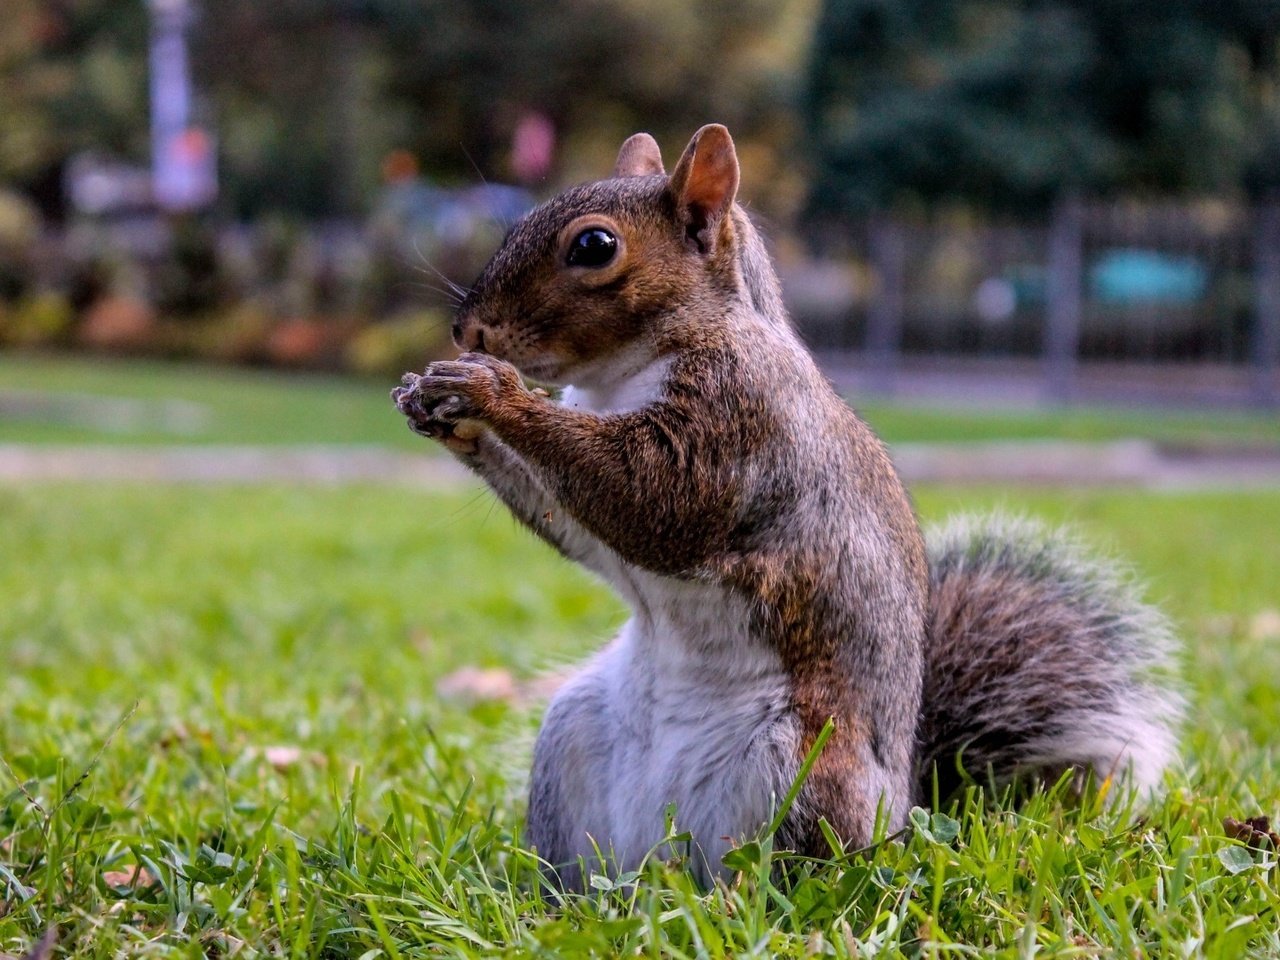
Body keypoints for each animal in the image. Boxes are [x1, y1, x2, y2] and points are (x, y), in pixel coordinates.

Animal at [389, 126, 1177, 885]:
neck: (626, 373)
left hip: (796, 767)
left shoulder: (741, 416)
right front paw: (442, 412)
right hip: (572, 738)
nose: (468, 332)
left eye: (594, 246)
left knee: (793, 875)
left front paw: (491, 393)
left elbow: (650, 498)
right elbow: (574, 521)